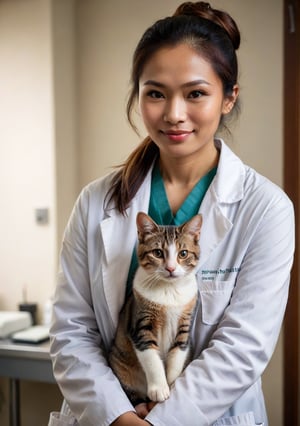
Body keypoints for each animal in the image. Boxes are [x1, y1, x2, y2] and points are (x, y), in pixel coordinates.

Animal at [108, 212, 202, 406]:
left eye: (183, 253)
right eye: (158, 253)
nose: (171, 268)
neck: (169, 289)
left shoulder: (185, 322)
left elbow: (177, 356)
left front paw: (172, 385)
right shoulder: (141, 322)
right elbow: (150, 357)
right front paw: (159, 388)